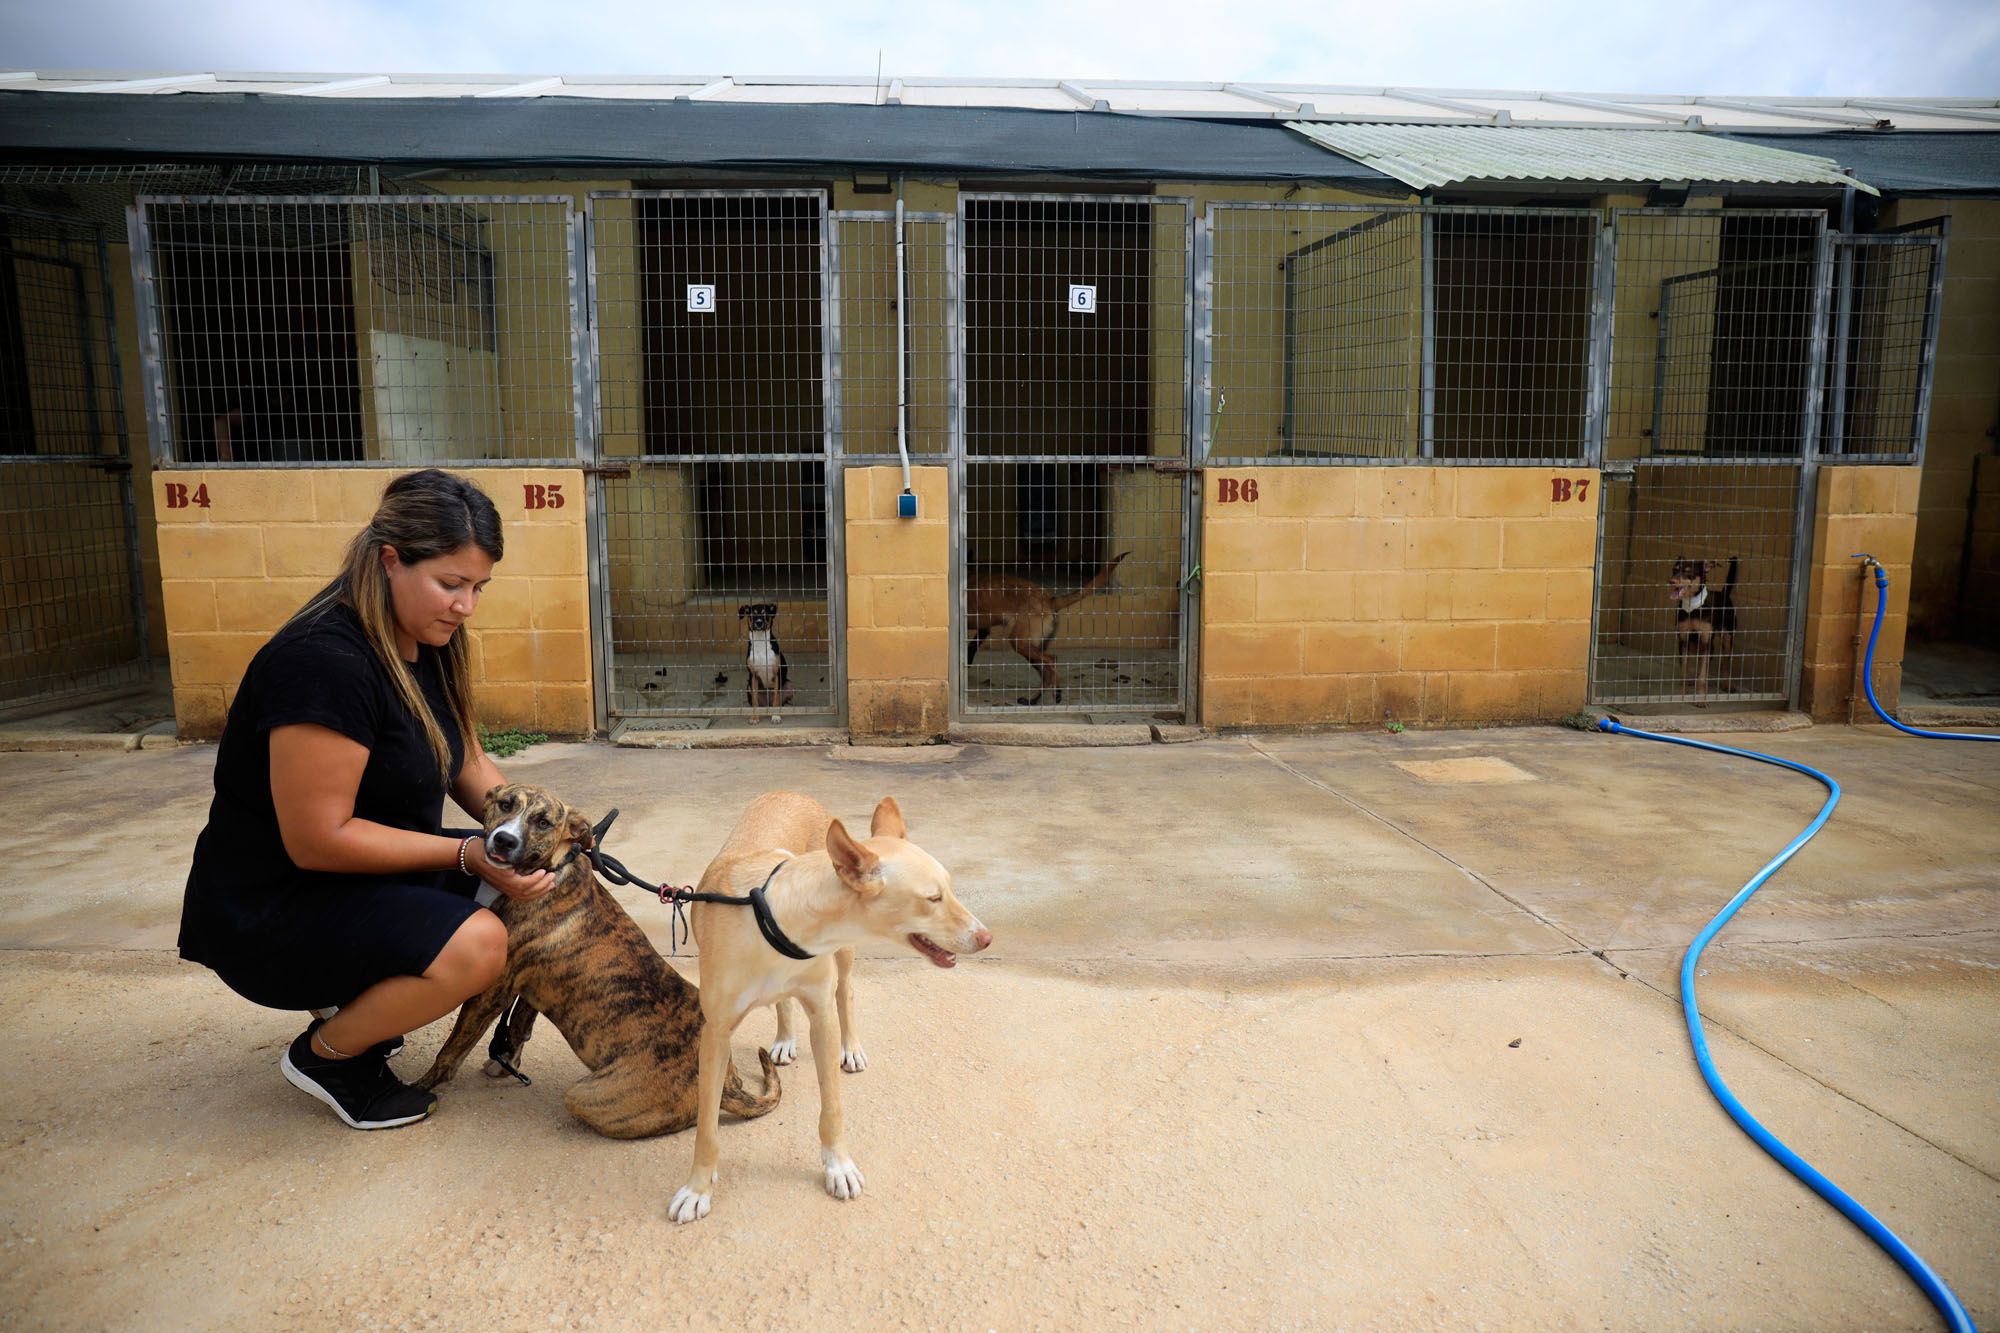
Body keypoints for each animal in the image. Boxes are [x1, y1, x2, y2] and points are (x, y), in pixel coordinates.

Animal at [420, 784, 780, 1136]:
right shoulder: (530, 986)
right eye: (506, 804)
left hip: (583, 1094)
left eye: (543, 822)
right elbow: (521, 1025)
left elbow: (450, 1050)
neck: (555, 867)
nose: (504, 840)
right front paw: (505, 1062)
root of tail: (728, 1087)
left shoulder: (494, 990)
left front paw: (423, 1085)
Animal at [668, 788, 988, 1224]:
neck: (780, 920)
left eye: (950, 889)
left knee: (845, 995)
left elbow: (832, 1109)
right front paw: (697, 1188)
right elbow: (706, 1127)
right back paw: (785, 1037)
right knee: (785, 1002)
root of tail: (790, 792)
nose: (986, 937)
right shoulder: (714, 1034)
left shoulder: (821, 1017)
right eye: (932, 898)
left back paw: (851, 1049)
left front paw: (839, 1167)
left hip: (845, 957)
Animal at [964, 544, 1128, 700]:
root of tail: (1049, 600)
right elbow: (972, 646)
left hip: (1020, 642)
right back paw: (1038, 698)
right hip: (1032, 646)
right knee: (1046, 672)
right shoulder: (983, 629)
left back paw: (1043, 696)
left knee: (1051, 661)